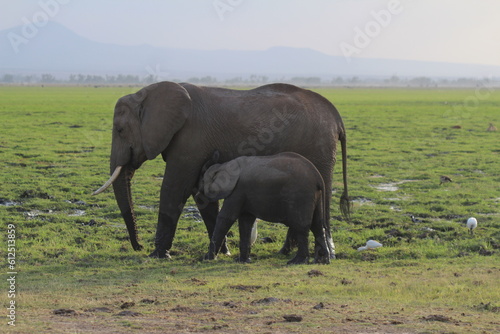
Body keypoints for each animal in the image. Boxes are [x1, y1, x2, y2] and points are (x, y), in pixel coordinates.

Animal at [196, 151, 332, 264]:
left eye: (202, 180)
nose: (198, 195)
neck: (223, 166)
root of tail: (318, 177)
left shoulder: (237, 191)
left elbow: (226, 217)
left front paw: (207, 259)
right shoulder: (244, 193)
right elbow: (245, 221)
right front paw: (242, 261)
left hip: (300, 195)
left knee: (301, 226)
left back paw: (297, 261)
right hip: (315, 196)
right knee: (317, 225)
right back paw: (322, 261)